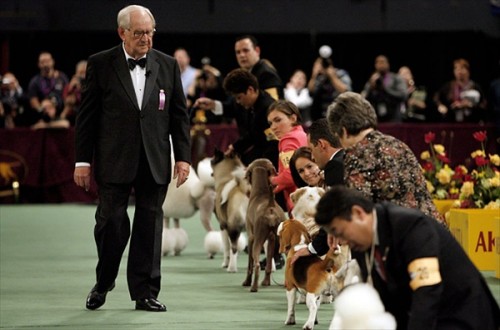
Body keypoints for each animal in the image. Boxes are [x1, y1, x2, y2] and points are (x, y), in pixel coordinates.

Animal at [242, 159, 286, 292]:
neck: (261, 193)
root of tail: (270, 206)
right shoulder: (271, 239)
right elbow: (268, 265)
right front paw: (266, 282)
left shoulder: (251, 238)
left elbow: (249, 264)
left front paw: (246, 282)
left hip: (258, 239)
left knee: (256, 265)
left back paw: (253, 287)